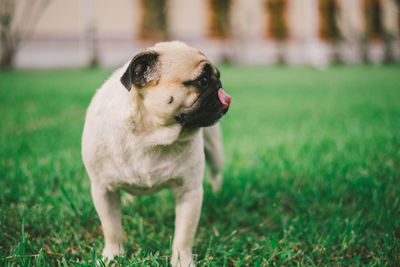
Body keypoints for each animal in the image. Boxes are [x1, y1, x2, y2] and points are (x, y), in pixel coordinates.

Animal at [81, 40, 231, 266]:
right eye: (203, 81)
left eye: (217, 77)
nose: (219, 87)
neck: (150, 136)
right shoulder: (103, 190)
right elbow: (112, 229)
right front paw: (113, 256)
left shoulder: (190, 192)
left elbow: (183, 236)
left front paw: (182, 261)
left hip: (215, 150)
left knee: (216, 174)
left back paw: (217, 193)